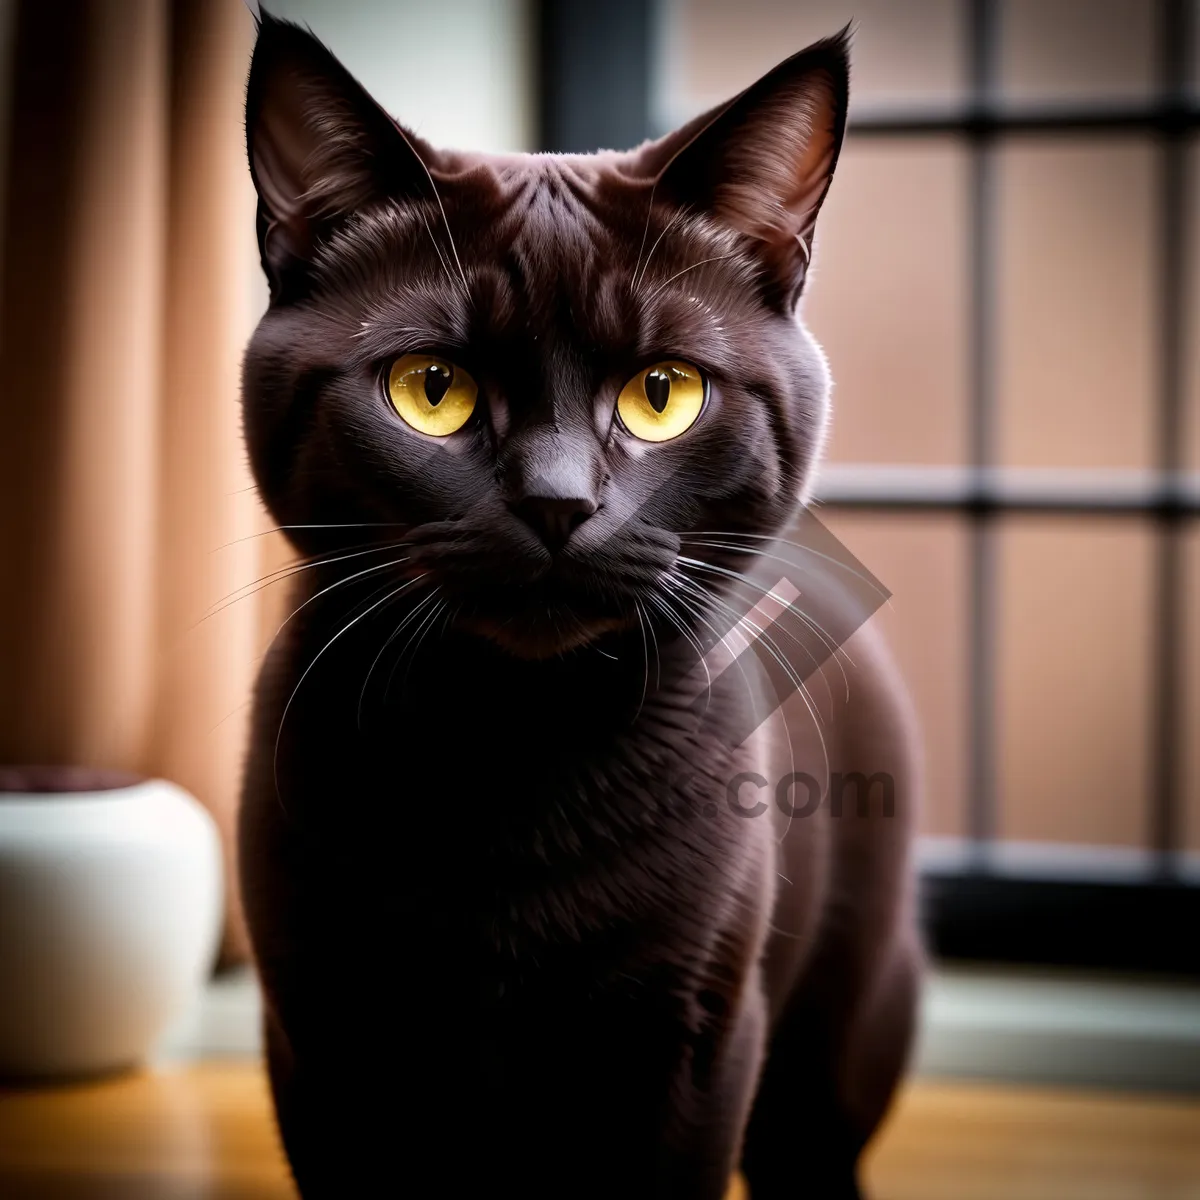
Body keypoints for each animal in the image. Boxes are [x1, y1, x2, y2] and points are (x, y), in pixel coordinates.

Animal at [238, 11, 921, 1200]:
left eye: (663, 394)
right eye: (432, 388)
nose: (558, 502)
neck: (514, 750)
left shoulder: (691, 1043)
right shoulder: (324, 1042)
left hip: (838, 1036)